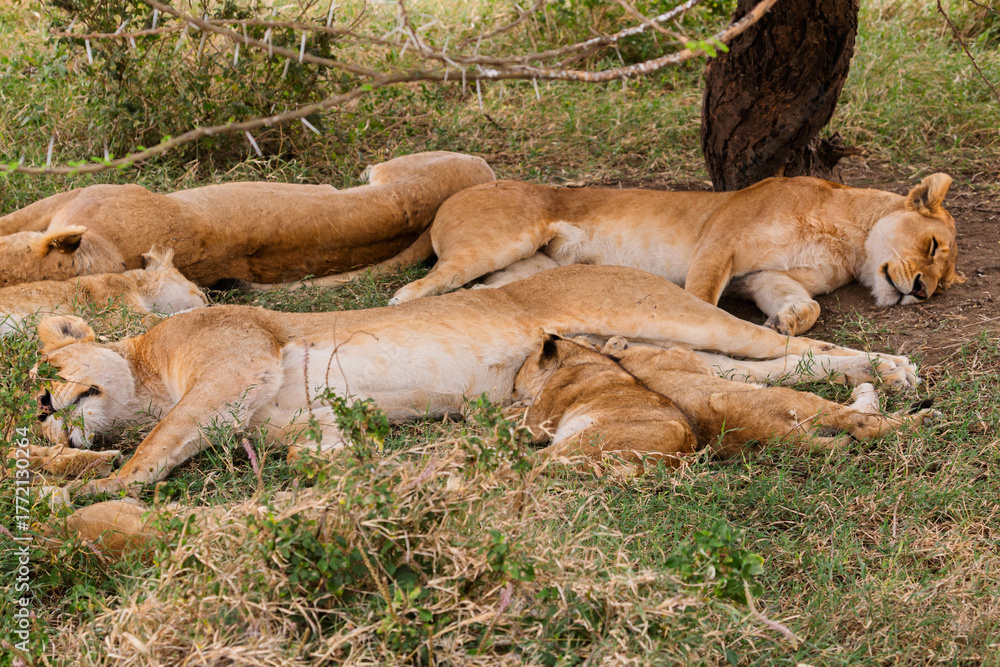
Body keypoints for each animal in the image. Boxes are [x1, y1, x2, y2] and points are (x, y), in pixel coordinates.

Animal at [380, 173, 964, 335]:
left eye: (945, 281)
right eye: (932, 246)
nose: (921, 291)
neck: (847, 240)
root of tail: (456, 195)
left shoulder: (760, 275)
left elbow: (807, 303)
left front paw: (788, 322)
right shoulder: (719, 244)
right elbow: (702, 300)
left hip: (528, 262)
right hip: (499, 239)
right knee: (420, 285)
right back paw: (406, 306)